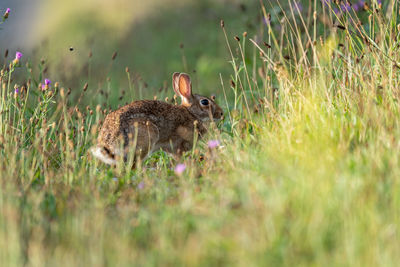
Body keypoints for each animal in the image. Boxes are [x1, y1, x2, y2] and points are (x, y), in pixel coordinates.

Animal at [89, 72, 225, 166]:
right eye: (204, 102)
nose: (221, 113)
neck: (192, 114)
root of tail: (109, 141)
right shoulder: (178, 145)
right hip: (147, 137)